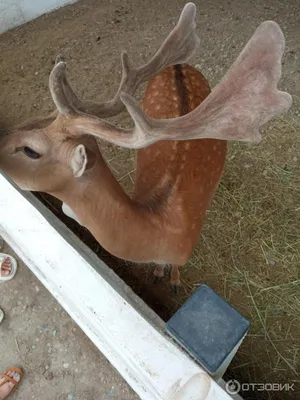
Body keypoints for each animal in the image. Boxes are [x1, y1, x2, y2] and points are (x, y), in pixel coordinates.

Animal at [0, 3, 292, 290]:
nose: (2, 138)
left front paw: (173, 282)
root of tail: (178, 65)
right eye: (32, 123)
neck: (159, 233)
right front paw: (158, 274)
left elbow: (176, 269)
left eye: (31, 150)